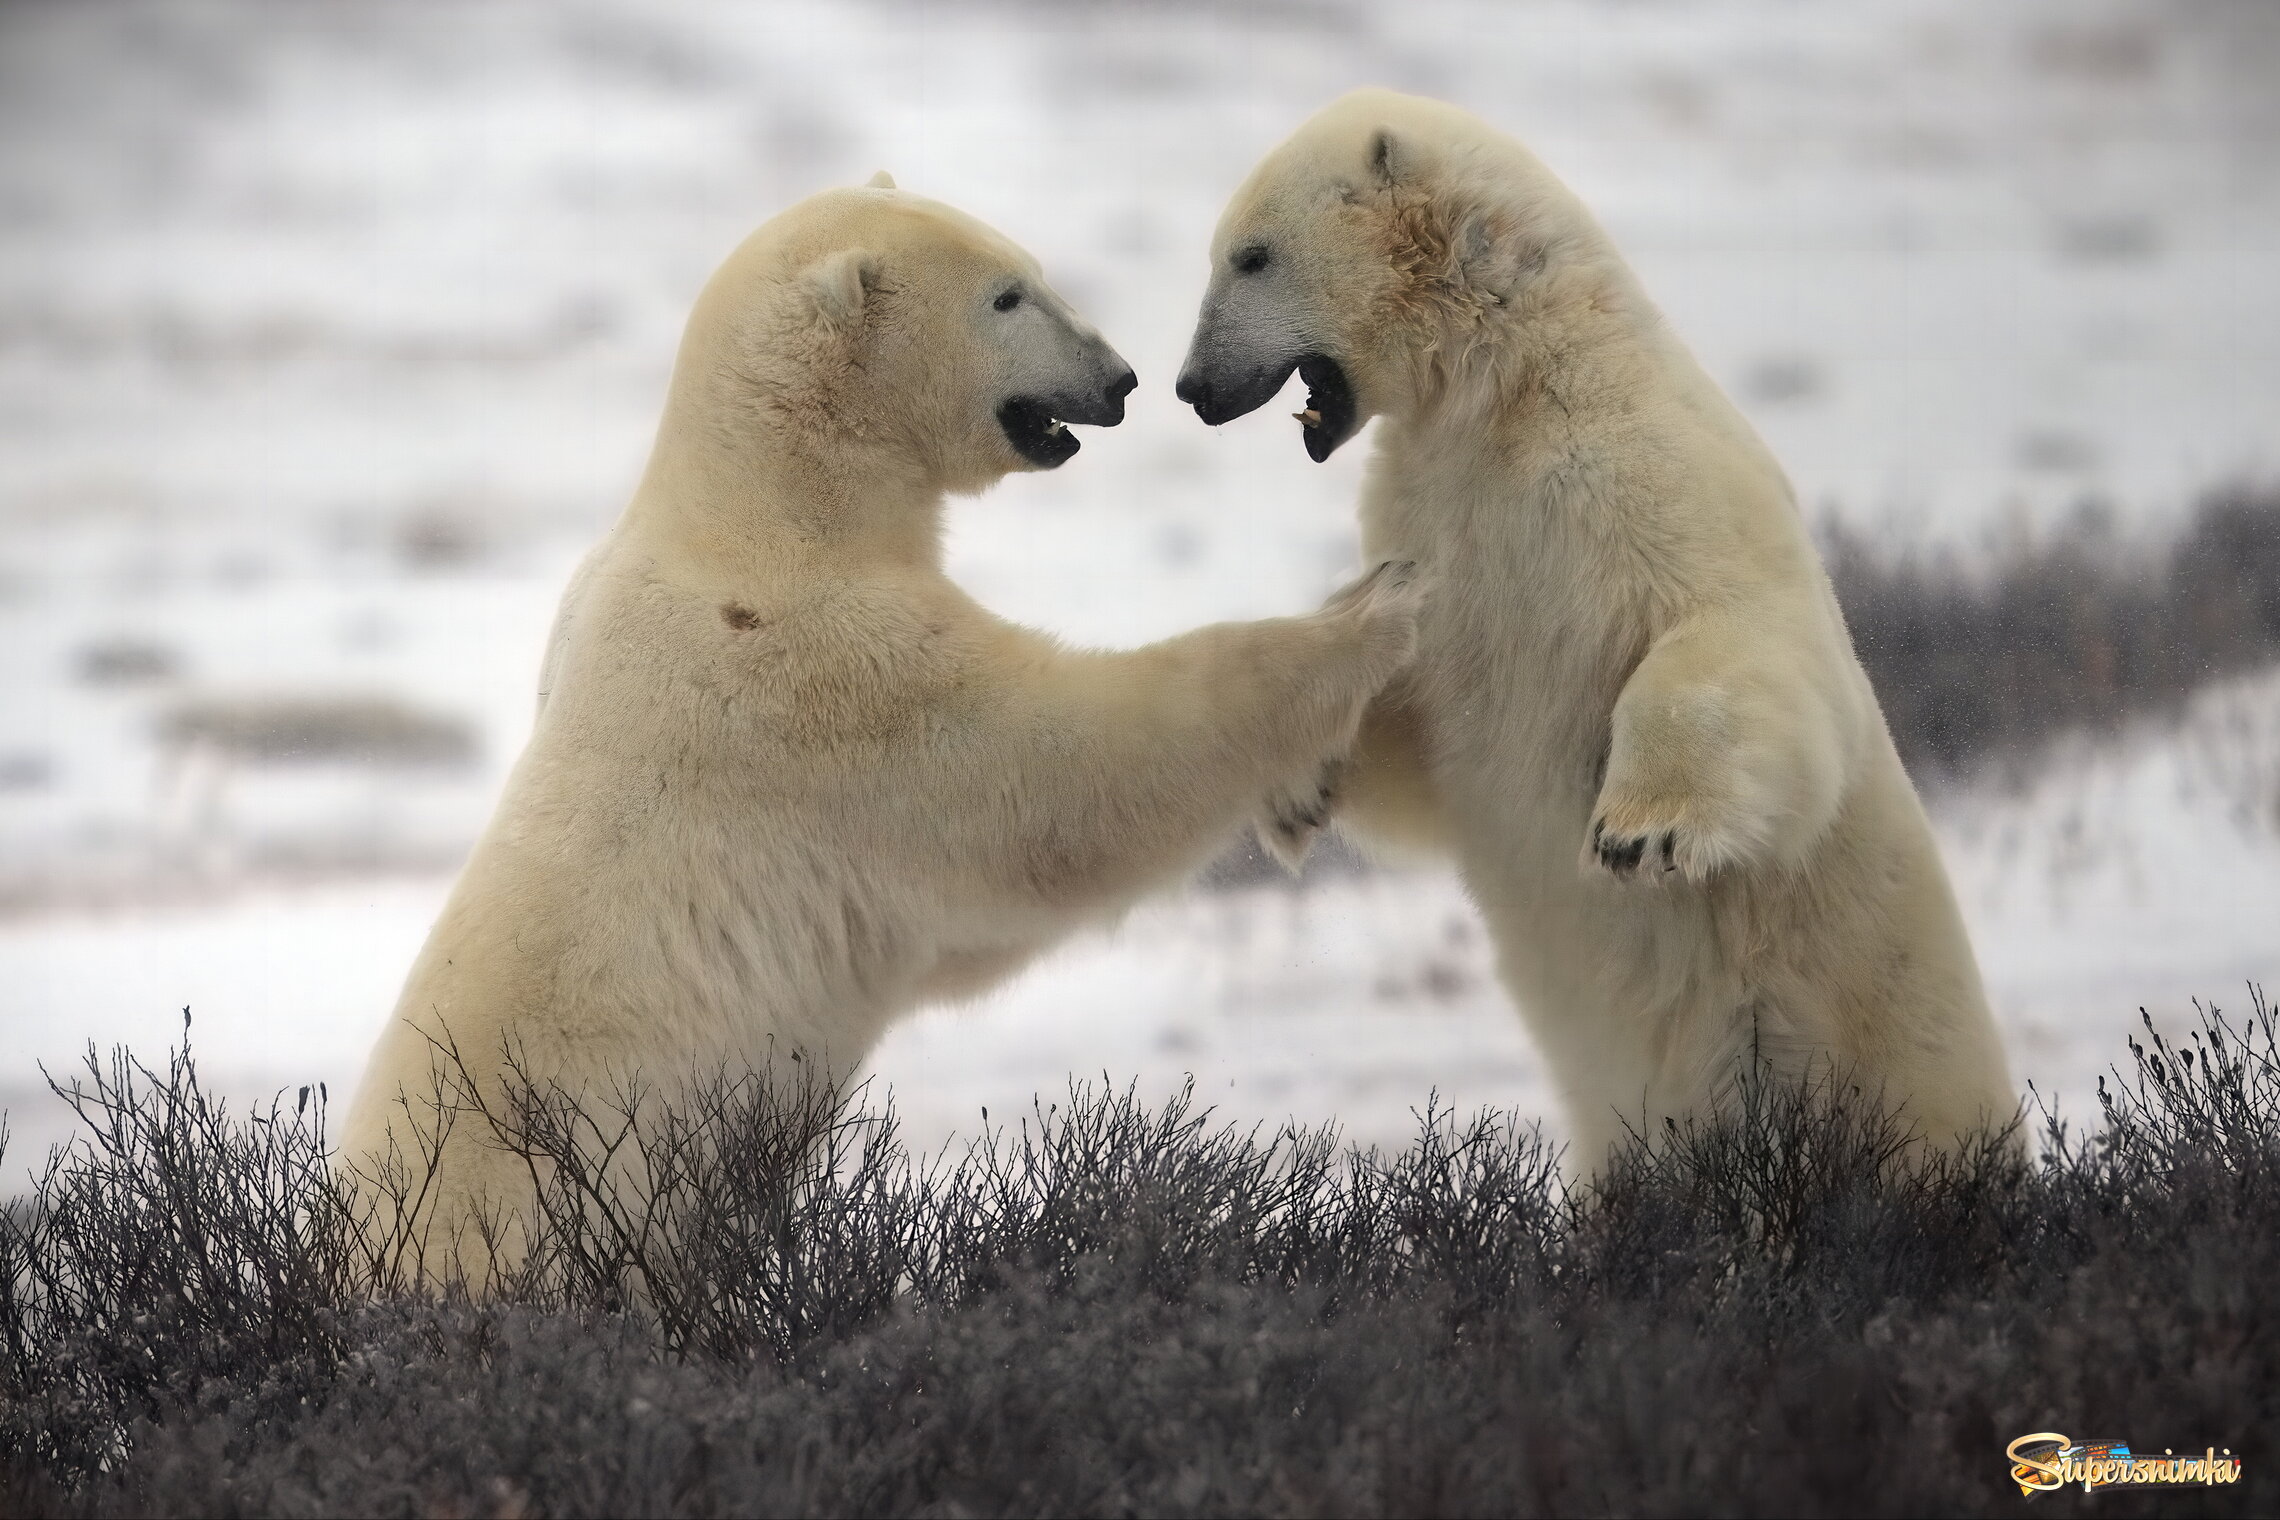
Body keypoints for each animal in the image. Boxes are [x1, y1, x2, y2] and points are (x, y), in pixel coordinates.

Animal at [342, 172, 1422, 1276]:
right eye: (1005, 296)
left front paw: (1303, 793)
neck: (766, 505)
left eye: (1031, 271)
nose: (1119, 378)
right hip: (564, 1205)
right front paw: (1375, 607)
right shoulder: (818, 675)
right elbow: (1051, 789)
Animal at [1176, 89, 2015, 1175]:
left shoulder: (1637, 470)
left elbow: (1730, 637)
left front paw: (1640, 830)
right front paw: (1298, 780)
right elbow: (1422, 727)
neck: (1510, 378)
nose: (1192, 387)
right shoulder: (1431, 524)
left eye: (1251, 255)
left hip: (1884, 1035)